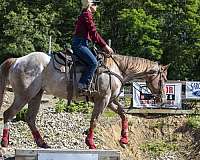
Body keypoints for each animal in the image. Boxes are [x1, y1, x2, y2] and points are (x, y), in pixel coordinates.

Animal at [0, 51, 169, 149]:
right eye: (163, 79)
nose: (163, 98)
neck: (116, 69)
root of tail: (17, 61)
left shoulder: (110, 101)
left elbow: (123, 115)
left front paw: (124, 139)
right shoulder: (103, 100)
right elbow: (94, 120)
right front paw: (91, 143)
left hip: (36, 95)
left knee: (30, 118)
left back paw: (42, 143)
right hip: (24, 95)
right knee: (8, 114)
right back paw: (5, 142)